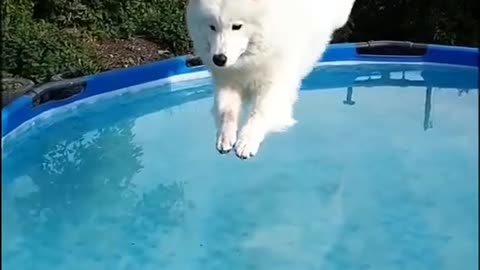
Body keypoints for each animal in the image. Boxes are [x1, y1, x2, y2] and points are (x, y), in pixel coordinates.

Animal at [186, 0, 354, 159]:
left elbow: (259, 113)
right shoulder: (228, 83)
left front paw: (247, 141)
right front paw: (225, 136)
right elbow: (227, 112)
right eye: (212, 27)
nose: (219, 59)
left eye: (237, 26)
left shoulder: (275, 86)